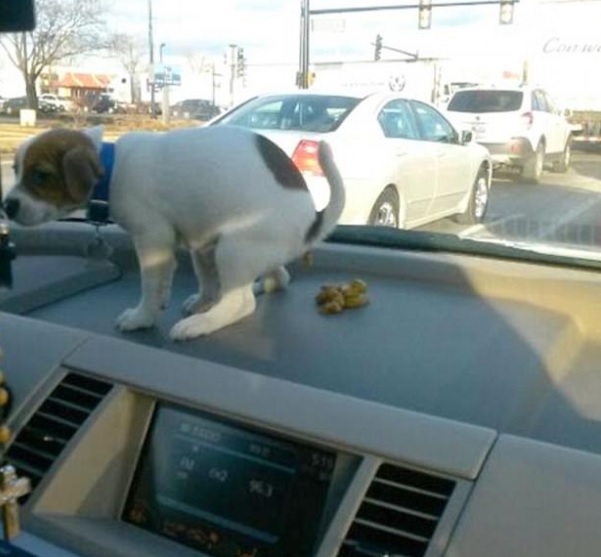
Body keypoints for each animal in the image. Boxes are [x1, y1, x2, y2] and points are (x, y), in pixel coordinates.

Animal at [5, 125, 342, 338]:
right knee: (271, 278)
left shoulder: (152, 238)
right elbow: (162, 280)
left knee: (240, 302)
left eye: (41, 175)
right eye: (15, 170)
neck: (113, 167)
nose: (6, 205)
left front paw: (142, 318)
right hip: (207, 247)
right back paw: (220, 296)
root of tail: (311, 221)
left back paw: (203, 322)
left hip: (233, 250)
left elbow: (150, 284)